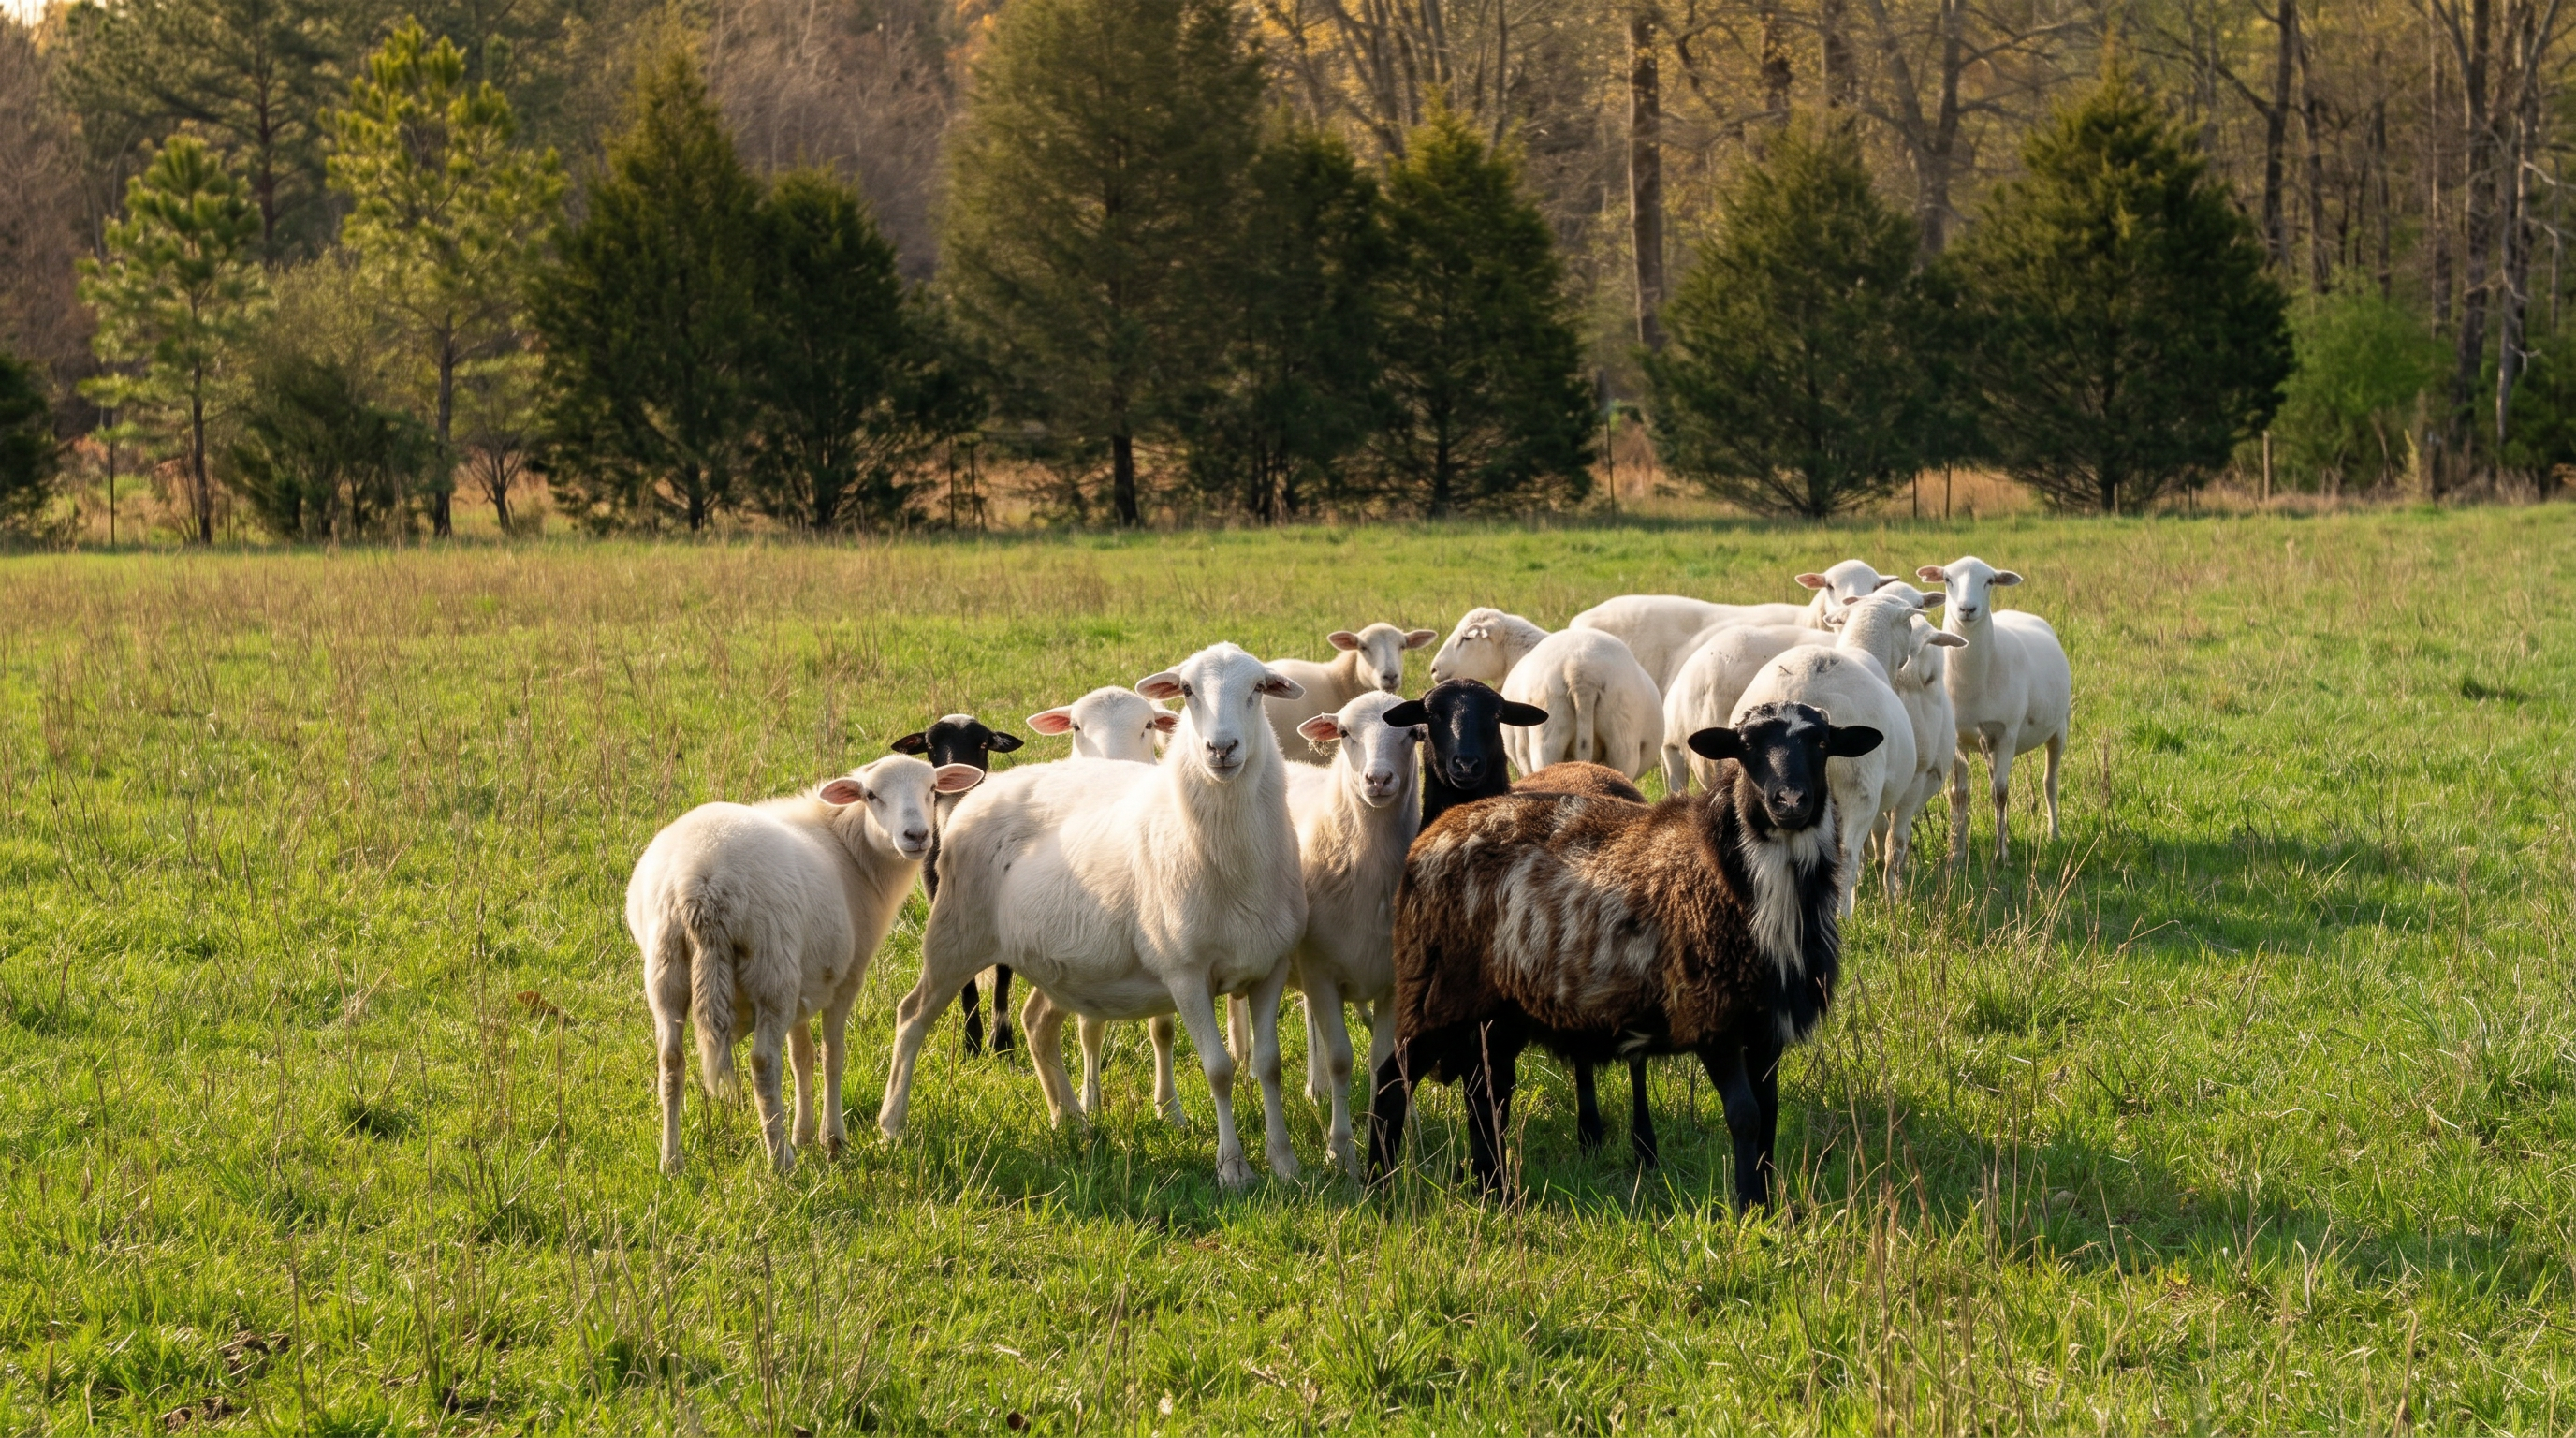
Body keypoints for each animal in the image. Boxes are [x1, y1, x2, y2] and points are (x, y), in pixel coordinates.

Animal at [632, 754, 987, 1175]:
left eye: (932, 788)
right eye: (871, 794)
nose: (917, 835)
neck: (853, 851)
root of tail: (700, 885)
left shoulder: (804, 984)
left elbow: (801, 1057)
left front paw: (803, 1134)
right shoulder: (847, 977)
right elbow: (832, 1056)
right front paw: (832, 1140)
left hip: (668, 971)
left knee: (671, 1061)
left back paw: (672, 1162)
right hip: (771, 969)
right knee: (763, 1064)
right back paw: (780, 1163)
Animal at [890, 716, 1024, 1057]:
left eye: (983, 744)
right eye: (930, 745)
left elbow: (1003, 974)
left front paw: (1002, 1043)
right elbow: (966, 984)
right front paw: (972, 1044)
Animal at [1367, 704, 1882, 1206]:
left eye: (1821, 743)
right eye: (1747, 747)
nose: (1790, 802)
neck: (1729, 870)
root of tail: (1435, 830)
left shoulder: (1765, 1024)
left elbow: (1769, 1117)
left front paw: (1769, 1204)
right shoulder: (1710, 1014)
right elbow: (1745, 1116)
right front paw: (1749, 1206)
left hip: (1496, 1012)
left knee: (1485, 1096)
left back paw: (1496, 1191)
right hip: (1435, 993)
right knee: (1392, 1083)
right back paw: (1379, 1189)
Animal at [1427, 607, 1663, 781]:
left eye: (1467, 638)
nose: (1434, 669)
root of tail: (1580, 673)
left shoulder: (1522, 755)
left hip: (1547, 739)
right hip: (1621, 741)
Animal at [1916, 557, 2073, 865]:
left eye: (1989, 581)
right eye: (1948, 579)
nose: (1967, 609)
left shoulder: (2007, 733)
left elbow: (2000, 793)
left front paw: (2002, 854)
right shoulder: (1957, 739)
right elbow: (1959, 795)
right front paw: (1956, 852)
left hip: (2059, 727)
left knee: (2050, 782)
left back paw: (2054, 833)